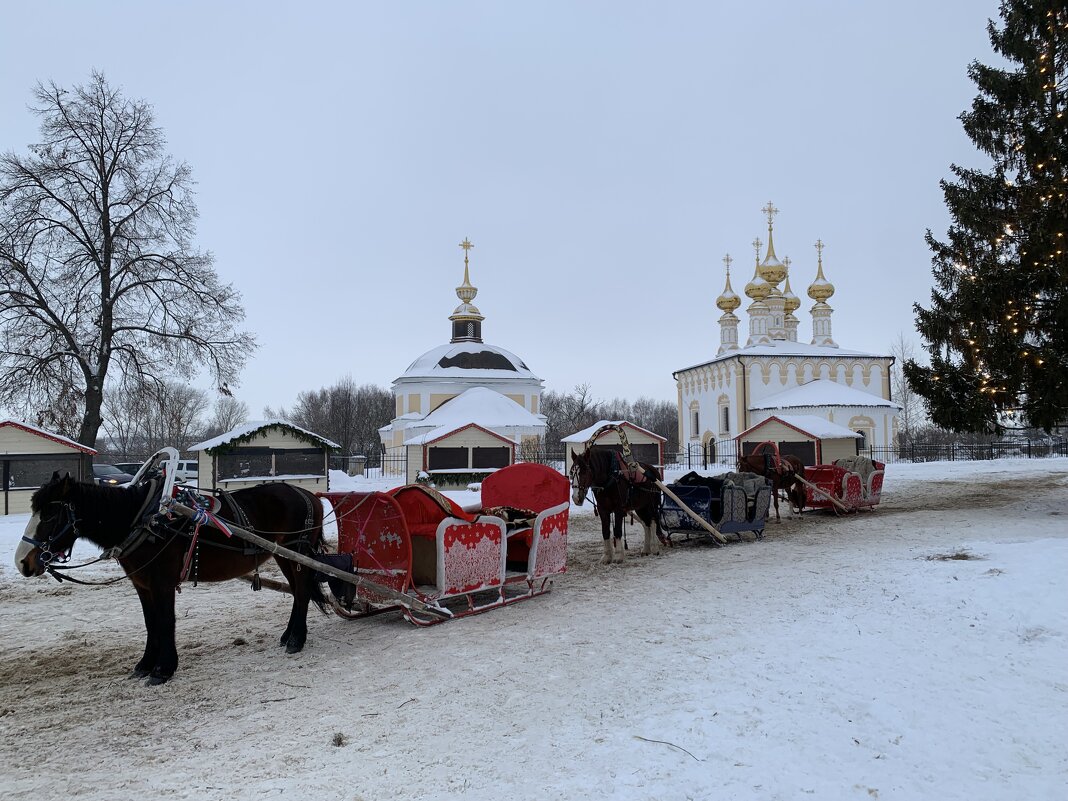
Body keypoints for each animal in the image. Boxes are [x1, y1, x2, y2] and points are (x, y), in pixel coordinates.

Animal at [15, 474, 324, 687]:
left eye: (51, 514)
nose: (22, 563)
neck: (145, 521)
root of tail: (309, 494)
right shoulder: (142, 584)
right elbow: (150, 622)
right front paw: (145, 664)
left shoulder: (162, 582)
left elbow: (165, 621)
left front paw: (163, 669)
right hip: (284, 555)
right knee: (298, 592)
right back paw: (288, 635)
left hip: (296, 551)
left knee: (302, 591)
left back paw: (297, 639)